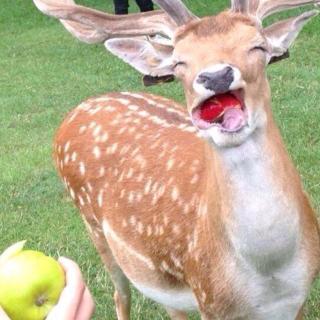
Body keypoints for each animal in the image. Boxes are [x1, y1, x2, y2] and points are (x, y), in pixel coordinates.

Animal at [33, 0, 320, 318]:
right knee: (121, 295)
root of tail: (75, 111)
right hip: (92, 224)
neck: (269, 272)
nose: (216, 76)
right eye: (179, 62)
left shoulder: (298, 300)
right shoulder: (208, 298)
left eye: (258, 46)